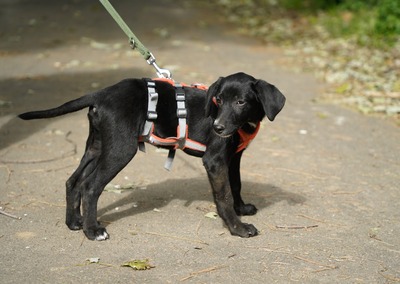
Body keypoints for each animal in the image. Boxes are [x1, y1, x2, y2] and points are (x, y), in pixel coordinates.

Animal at [18, 72, 284, 241]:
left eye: (240, 102)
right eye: (218, 100)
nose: (218, 127)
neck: (244, 124)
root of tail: (101, 93)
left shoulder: (234, 158)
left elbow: (236, 185)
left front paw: (242, 209)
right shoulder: (215, 160)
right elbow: (224, 195)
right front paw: (237, 228)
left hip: (97, 146)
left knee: (73, 181)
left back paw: (75, 222)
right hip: (120, 149)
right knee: (90, 186)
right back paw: (92, 230)